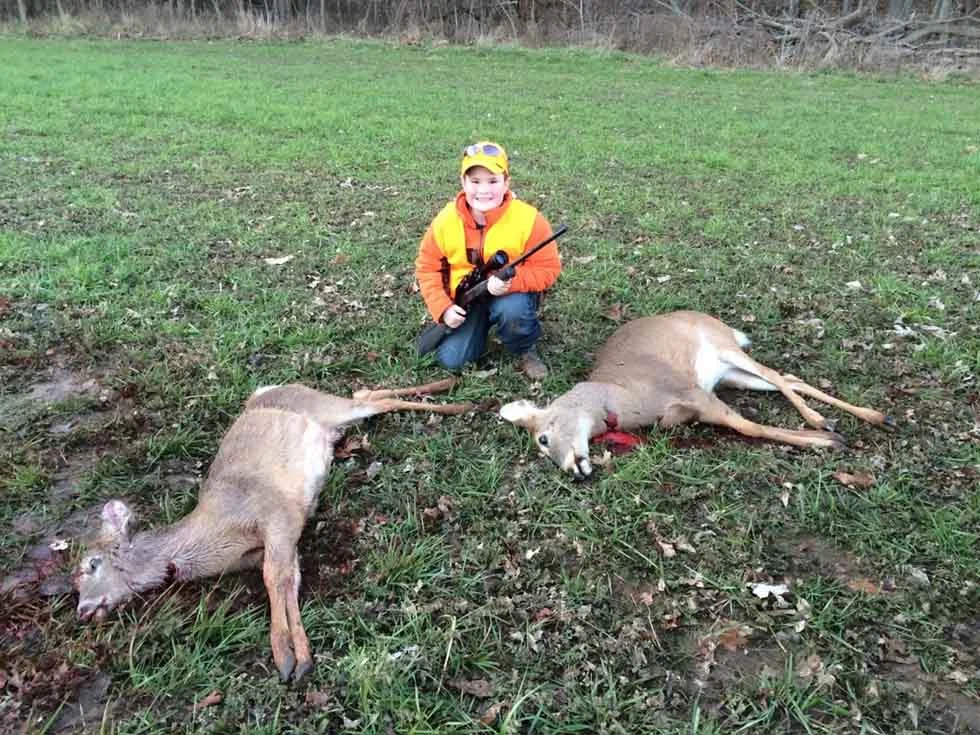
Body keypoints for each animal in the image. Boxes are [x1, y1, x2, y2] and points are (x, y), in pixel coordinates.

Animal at [74, 379, 471, 683]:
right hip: (332, 419)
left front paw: (285, 656)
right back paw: (449, 386)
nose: (82, 610)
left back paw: (460, 402)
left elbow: (273, 578)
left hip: (326, 409)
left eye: (91, 564)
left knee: (377, 400)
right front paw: (300, 656)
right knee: (367, 392)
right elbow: (288, 578)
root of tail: (272, 387)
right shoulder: (272, 542)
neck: (218, 534)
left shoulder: (278, 513)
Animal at [500, 311, 894, 478]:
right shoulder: (693, 400)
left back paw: (829, 421)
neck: (623, 397)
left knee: (778, 376)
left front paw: (827, 443)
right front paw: (827, 439)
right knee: (789, 377)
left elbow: (750, 427)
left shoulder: (691, 391)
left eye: (544, 438)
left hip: (725, 349)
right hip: (732, 377)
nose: (573, 470)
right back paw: (866, 417)